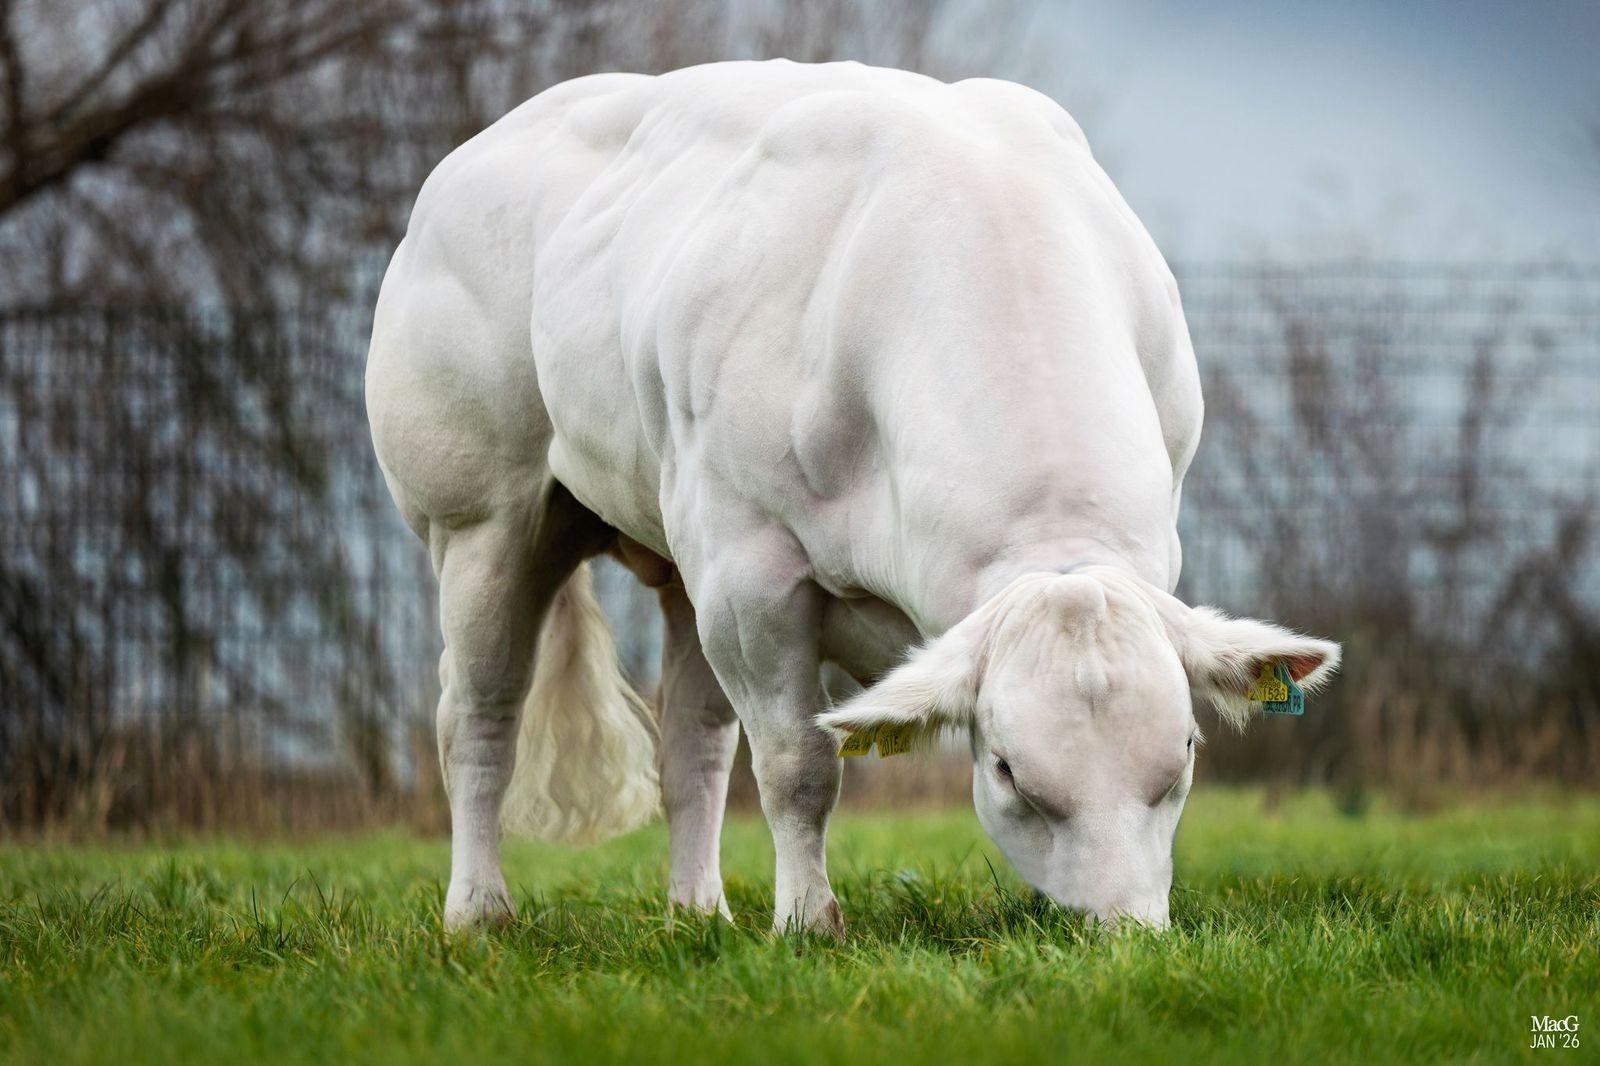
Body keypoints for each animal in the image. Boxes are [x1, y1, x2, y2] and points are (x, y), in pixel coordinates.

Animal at [365, 59, 1340, 935]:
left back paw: (697, 911)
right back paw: (479, 912)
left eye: (1183, 758)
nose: (1123, 932)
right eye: (1008, 772)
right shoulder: (751, 574)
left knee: (692, 741)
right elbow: (799, 762)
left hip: (682, 562)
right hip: (484, 523)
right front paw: (808, 922)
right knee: (479, 717)